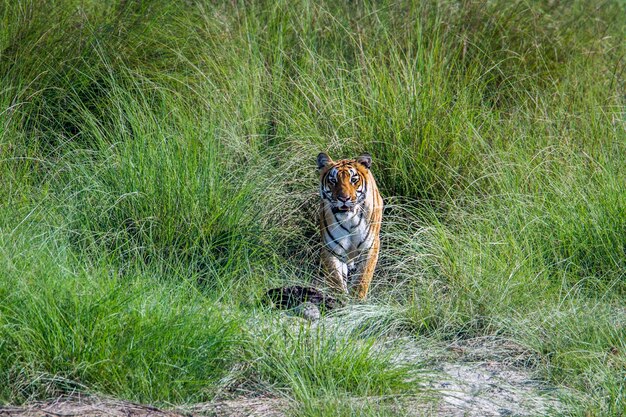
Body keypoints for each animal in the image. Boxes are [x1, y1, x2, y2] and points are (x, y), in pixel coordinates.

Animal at [316, 152, 380, 300]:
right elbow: (336, 279)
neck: (349, 220)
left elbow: (362, 278)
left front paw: (358, 300)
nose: (344, 198)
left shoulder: (370, 247)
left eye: (354, 180)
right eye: (333, 181)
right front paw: (341, 300)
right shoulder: (332, 250)